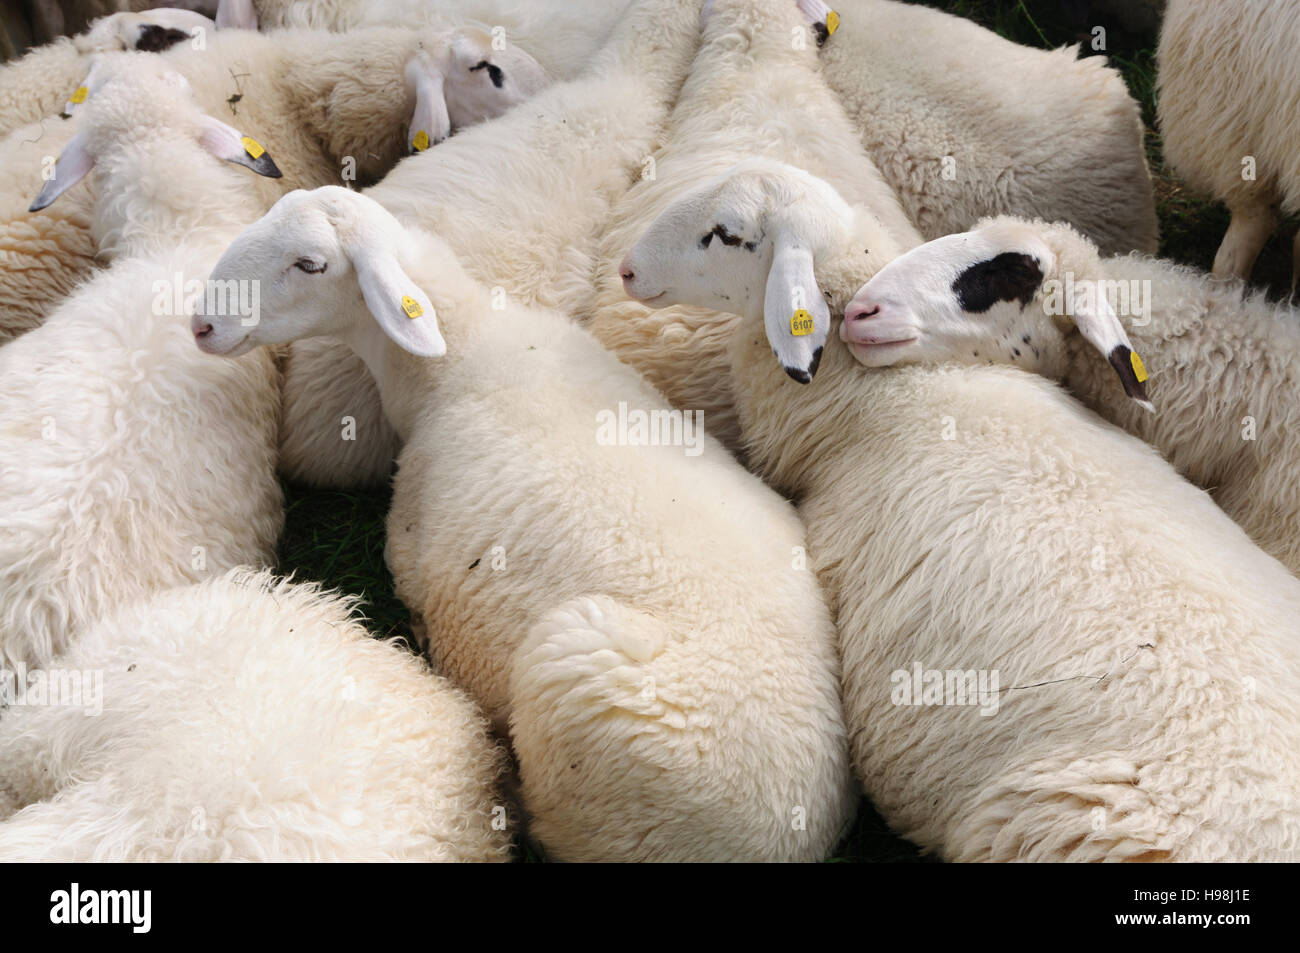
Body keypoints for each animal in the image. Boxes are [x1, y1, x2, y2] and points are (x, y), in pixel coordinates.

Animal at [192, 183, 855, 862]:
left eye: (310, 265)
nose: (203, 325)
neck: (461, 350)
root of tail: (790, 837)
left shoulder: (408, 554)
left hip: (579, 698)